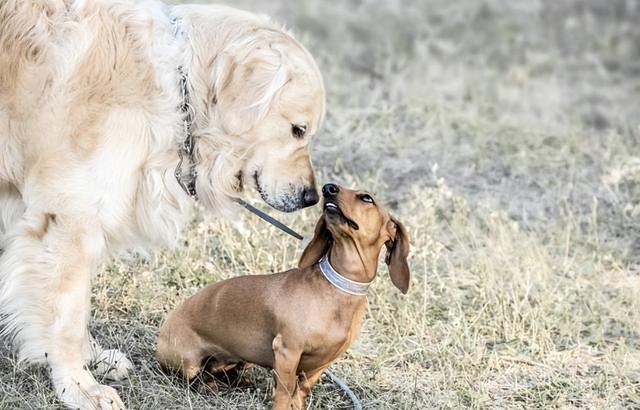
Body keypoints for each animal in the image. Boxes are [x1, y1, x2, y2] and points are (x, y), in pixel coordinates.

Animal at [0, 1, 322, 408]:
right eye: (298, 130)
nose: (312, 196)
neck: (178, 89)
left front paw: (92, 358)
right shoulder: (70, 220)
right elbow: (67, 317)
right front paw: (78, 385)